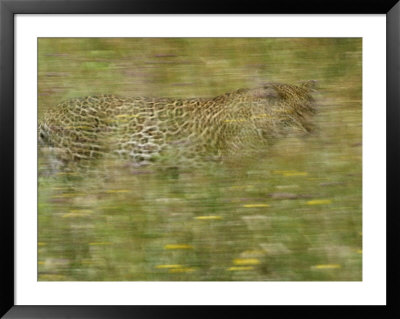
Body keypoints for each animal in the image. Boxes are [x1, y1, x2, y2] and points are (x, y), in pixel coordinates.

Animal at [38, 80, 318, 171]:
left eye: (312, 111)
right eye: (294, 114)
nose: (311, 131)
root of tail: (50, 111)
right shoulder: (235, 164)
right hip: (82, 162)